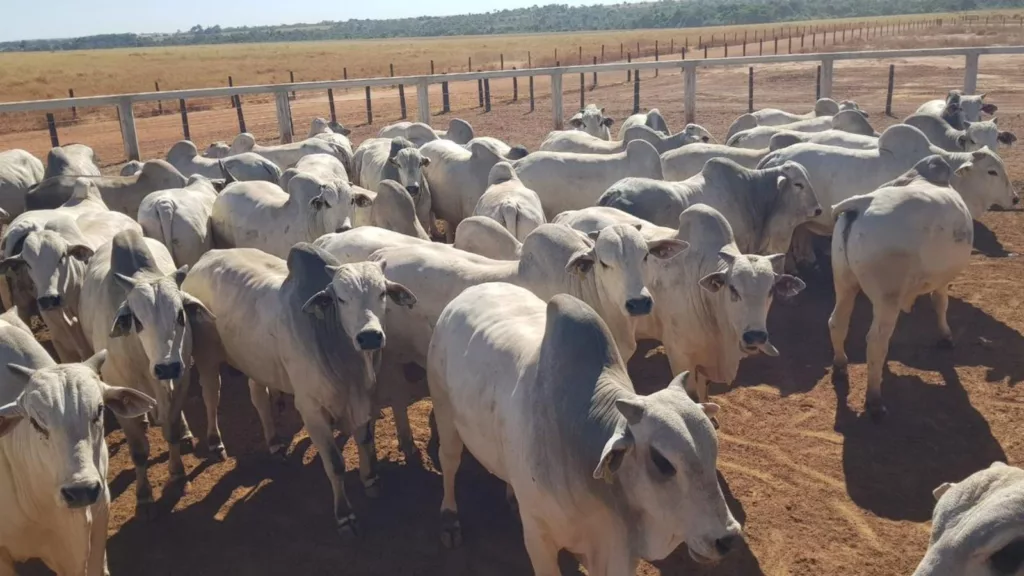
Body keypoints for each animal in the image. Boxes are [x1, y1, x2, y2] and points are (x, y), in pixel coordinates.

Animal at [186, 241, 417, 532]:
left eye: (382, 293)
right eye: (341, 299)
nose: (369, 337)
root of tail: (206, 257)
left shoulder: (364, 399)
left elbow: (365, 441)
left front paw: (371, 479)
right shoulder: (311, 410)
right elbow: (336, 464)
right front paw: (345, 515)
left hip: (256, 361)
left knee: (258, 396)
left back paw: (274, 442)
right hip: (206, 356)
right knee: (210, 395)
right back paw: (215, 442)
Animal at [428, 286, 741, 569]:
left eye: (713, 451)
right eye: (662, 461)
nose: (727, 539)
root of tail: (467, 292)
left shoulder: (617, 551)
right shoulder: (539, 540)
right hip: (444, 411)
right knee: (450, 461)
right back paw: (449, 519)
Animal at [827, 176, 970, 416]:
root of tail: (862, 202)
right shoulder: (941, 281)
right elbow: (940, 303)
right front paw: (946, 336)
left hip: (843, 281)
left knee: (838, 322)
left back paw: (840, 366)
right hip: (887, 295)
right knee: (876, 341)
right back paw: (874, 399)